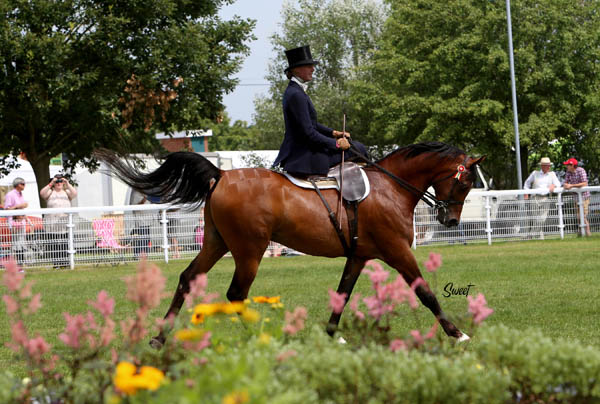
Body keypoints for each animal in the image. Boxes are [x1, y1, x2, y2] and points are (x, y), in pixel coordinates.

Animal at [96, 140, 486, 346]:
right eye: (466, 183)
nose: (450, 221)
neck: (391, 187)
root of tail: (221, 175)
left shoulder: (359, 256)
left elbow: (342, 294)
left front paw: (333, 335)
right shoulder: (397, 251)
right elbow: (426, 293)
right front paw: (458, 334)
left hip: (216, 243)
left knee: (187, 280)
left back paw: (159, 338)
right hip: (249, 250)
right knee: (236, 294)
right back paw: (259, 337)